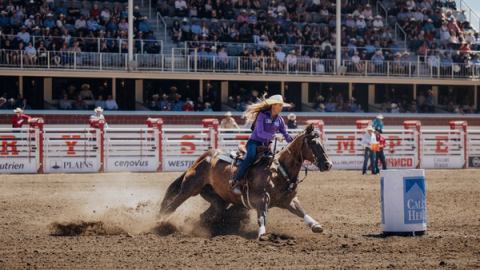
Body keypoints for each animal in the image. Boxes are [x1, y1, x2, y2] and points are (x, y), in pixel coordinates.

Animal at [159, 124, 332, 238]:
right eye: (312, 143)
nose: (328, 164)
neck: (278, 171)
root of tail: (203, 158)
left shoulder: (289, 200)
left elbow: (301, 211)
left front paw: (316, 225)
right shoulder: (261, 199)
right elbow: (262, 216)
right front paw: (262, 234)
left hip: (217, 198)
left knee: (210, 213)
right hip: (189, 188)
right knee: (171, 206)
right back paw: (162, 224)